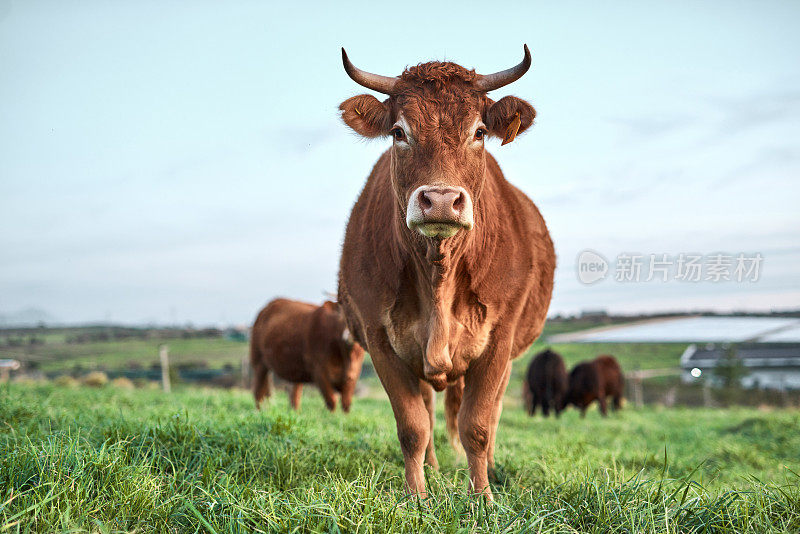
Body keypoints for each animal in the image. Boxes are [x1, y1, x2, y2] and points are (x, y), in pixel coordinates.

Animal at [334, 44, 552, 500]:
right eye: (399, 132)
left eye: (480, 132)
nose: (439, 200)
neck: (439, 273)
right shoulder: (380, 340)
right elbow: (413, 426)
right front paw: (417, 496)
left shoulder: (499, 340)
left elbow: (477, 426)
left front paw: (482, 497)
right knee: (430, 410)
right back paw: (433, 468)